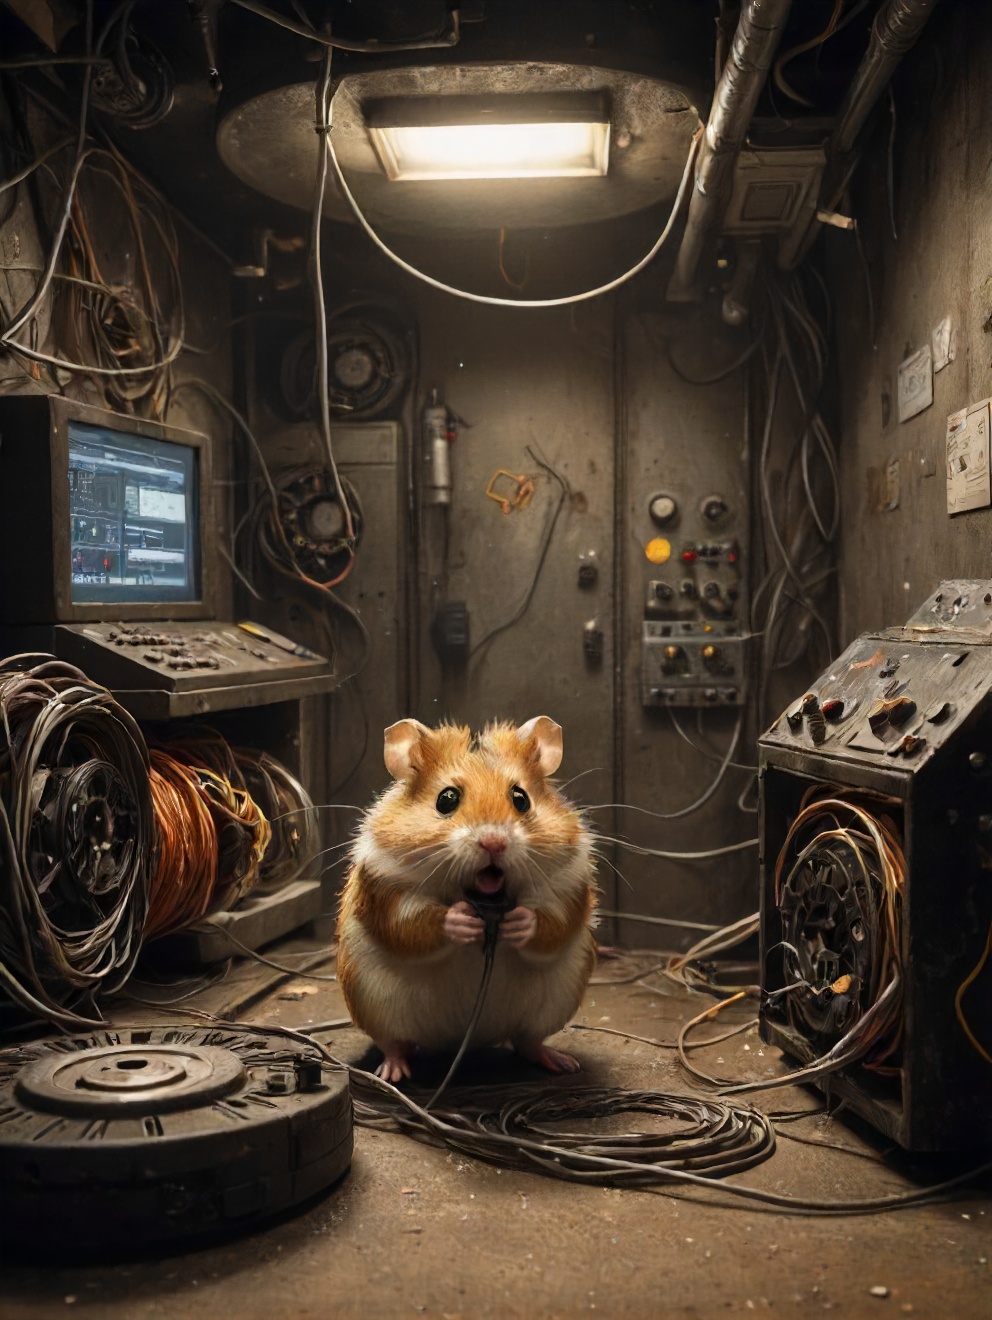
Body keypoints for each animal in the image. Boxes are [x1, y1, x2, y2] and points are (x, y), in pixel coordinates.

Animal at [336, 715, 598, 1083]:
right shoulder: (384, 887)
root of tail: (464, 1041)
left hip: (556, 1002)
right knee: (394, 1043)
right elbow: (411, 923)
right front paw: (461, 920)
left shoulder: (568, 885)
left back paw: (562, 1063)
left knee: (528, 1042)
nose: (493, 842)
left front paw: (518, 922)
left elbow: (553, 922)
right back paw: (392, 1073)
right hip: (371, 1002)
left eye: (521, 798)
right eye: (446, 799)